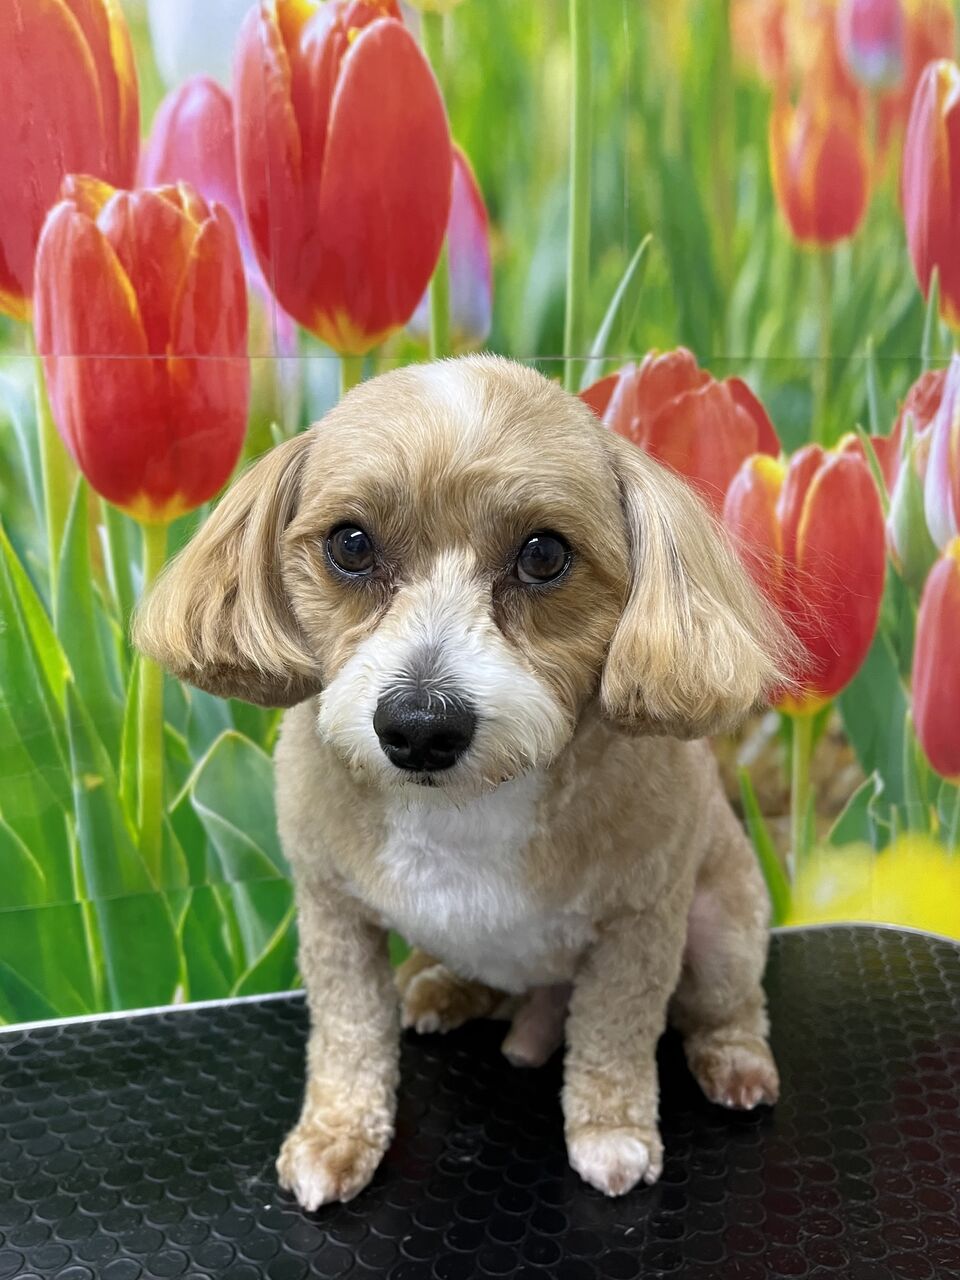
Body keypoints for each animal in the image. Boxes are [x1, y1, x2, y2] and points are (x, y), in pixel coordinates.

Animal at [136, 356, 793, 1207]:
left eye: (544, 555)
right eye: (351, 543)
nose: (420, 727)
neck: (469, 805)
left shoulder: (639, 925)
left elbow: (616, 1035)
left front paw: (610, 1131)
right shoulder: (332, 911)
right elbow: (349, 1032)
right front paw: (338, 1133)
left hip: (721, 928)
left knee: (727, 1006)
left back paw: (735, 1063)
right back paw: (446, 990)